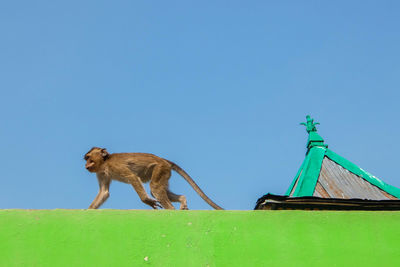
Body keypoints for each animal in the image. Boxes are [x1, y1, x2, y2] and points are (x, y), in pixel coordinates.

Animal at [83, 148, 223, 210]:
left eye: (89, 158)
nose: (85, 165)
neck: (105, 162)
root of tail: (164, 160)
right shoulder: (101, 173)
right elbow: (104, 192)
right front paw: (89, 210)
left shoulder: (115, 166)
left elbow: (132, 177)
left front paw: (147, 201)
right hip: (164, 172)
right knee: (156, 189)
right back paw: (182, 200)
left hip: (160, 169)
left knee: (154, 188)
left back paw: (171, 209)